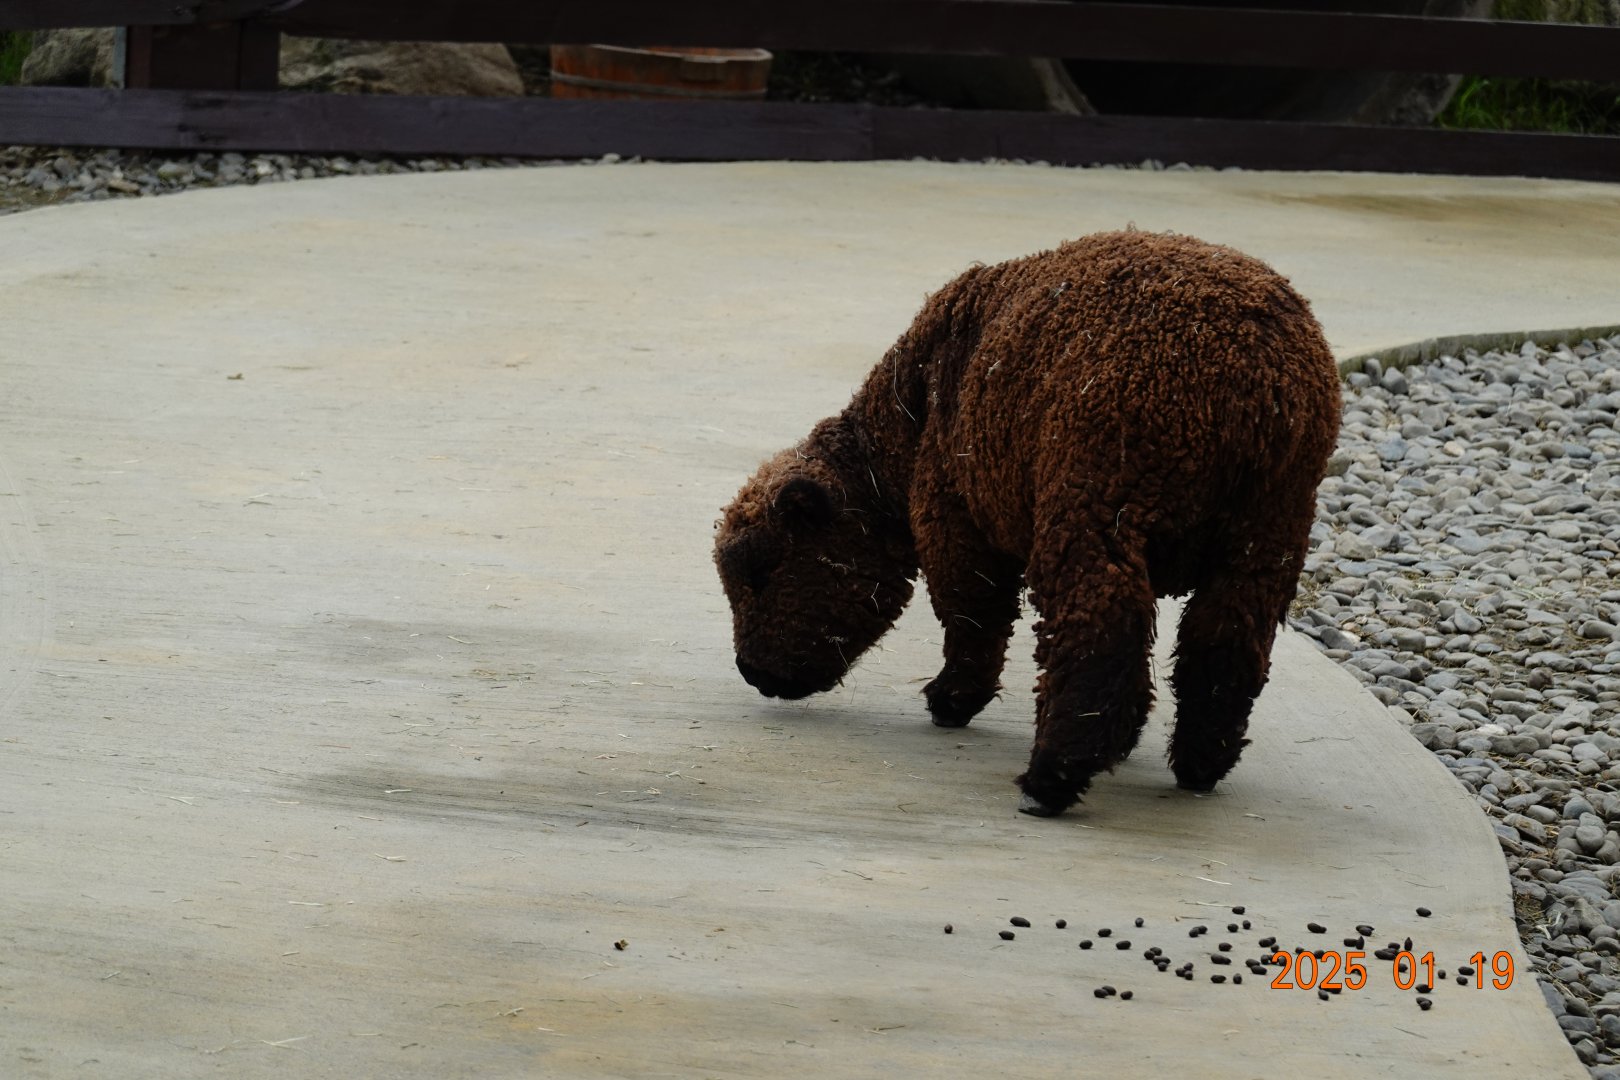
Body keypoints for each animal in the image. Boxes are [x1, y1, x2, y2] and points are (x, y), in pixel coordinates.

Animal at [713, 229, 1341, 816]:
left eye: (762, 572)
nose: (749, 671)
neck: (903, 425)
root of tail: (1256, 386)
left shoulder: (953, 515)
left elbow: (973, 613)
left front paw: (952, 700)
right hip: (1269, 525)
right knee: (1226, 639)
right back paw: (1198, 764)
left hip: (1096, 497)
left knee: (1101, 627)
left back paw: (1053, 777)